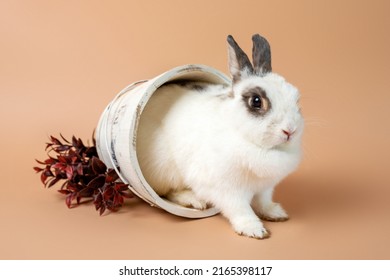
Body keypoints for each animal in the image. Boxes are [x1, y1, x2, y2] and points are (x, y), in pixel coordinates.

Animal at [137, 33, 304, 238]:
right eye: (256, 101)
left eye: (296, 98)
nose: (290, 130)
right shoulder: (227, 190)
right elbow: (241, 210)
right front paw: (255, 230)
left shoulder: (264, 188)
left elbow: (262, 202)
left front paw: (276, 214)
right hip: (165, 170)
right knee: (167, 192)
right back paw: (195, 201)